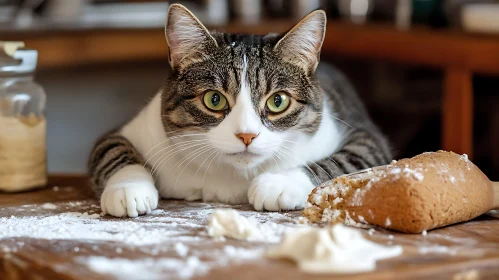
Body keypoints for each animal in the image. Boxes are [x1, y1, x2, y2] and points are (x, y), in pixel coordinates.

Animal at [90, 4, 394, 218]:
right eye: (214, 100)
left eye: (277, 101)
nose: (247, 136)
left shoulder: (366, 138)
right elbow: (113, 150)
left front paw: (280, 183)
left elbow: (342, 162)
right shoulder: (134, 131)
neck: (231, 177)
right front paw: (128, 188)